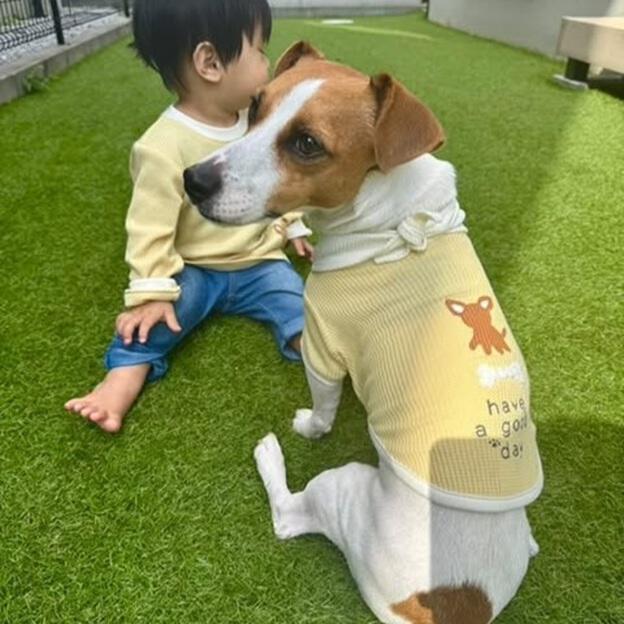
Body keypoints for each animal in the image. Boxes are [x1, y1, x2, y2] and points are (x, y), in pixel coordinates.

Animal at [184, 42, 543, 624]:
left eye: (307, 144)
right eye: (254, 107)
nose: (193, 179)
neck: (390, 217)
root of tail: (462, 603)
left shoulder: (322, 344)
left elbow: (324, 406)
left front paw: (310, 424)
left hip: (344, 485)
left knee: (288, 516)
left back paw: (270, 456)